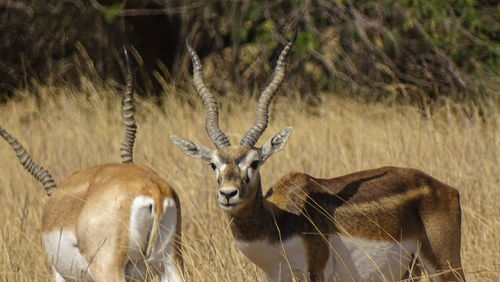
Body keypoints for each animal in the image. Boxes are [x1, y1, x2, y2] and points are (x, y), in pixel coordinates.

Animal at [171, 33, 464, 282]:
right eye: (213, 164)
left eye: (254, 163)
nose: (228, 194)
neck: (279, 221)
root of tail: (447, 189)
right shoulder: (275, 276)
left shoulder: (316, 270)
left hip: (445, 266)